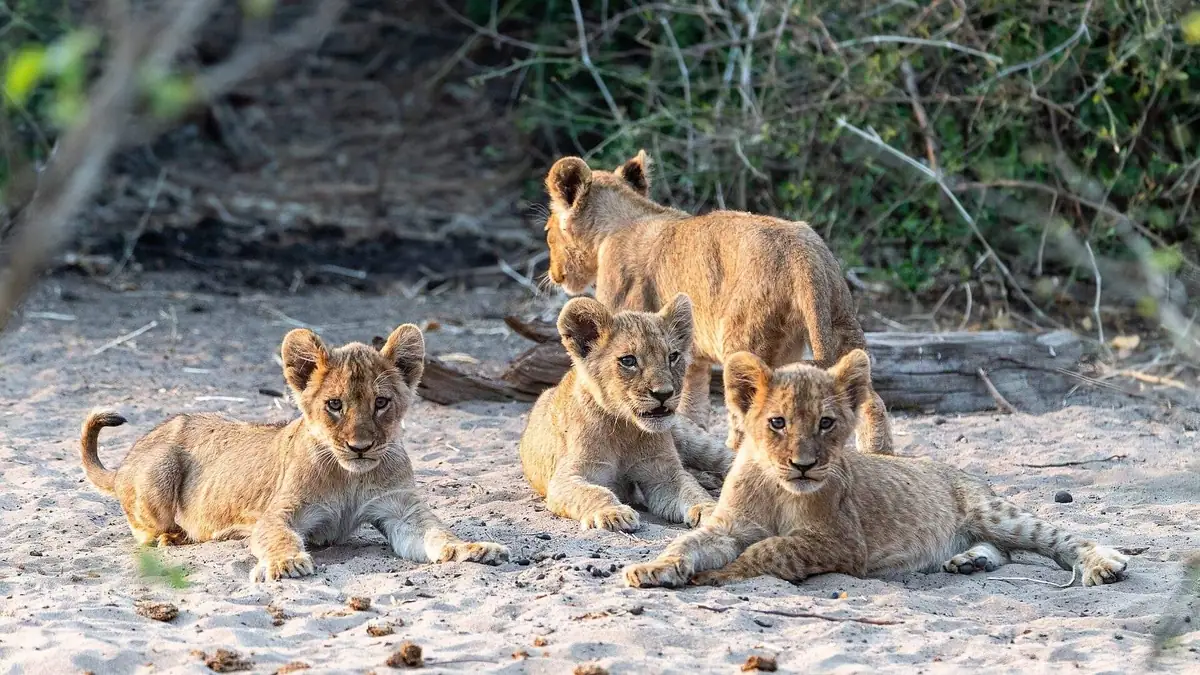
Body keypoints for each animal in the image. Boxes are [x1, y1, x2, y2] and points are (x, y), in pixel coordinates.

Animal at [80, 324, 508, 582]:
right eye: (334, 405)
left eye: (381, 402)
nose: (360, 447)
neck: (349, 477)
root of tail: (123, 466)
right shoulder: (278, 513)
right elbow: (277, 537)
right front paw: (286, 563)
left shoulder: (402, 512)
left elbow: (438, 533)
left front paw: (473, 549)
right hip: (160, 471)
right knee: (145, 531)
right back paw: (174, 538)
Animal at [518, 292, 733, 533]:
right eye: (628, 360)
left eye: (672, 356)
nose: (664, 393)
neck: (624, 429)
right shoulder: (567, 476)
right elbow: (593, 492)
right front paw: (613, 513)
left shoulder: (665, 474)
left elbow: (691, 490)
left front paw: (711, 510)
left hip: (694, 439)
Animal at [541, 150, 893, 456]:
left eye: (547, 230)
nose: (554, 274)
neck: (624, 219)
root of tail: (801, 253)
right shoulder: (692, 355)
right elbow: (692, 406)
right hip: (842, 323)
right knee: (871, 401)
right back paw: (881, 456)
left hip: (744, 341)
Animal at [623, 349, 1129, 589]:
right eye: (777, 423)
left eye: (826, 423)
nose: (803, 466)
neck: (778, 488)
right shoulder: (728, 526)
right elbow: (688, 542)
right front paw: (653, 568)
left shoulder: (843, 543)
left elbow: (772, 551)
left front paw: (719, 575)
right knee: (1003, 552)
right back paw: (967, 561)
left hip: (993, 512)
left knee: (1058, 537)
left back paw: (1104, 564)